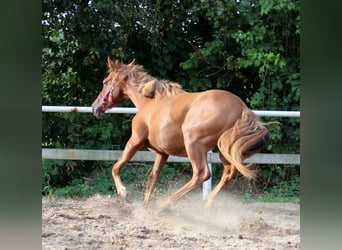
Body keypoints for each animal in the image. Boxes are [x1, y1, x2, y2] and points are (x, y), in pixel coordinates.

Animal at [92, 57, 272, 208]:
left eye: (105, 82)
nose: (95, 107)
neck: (149, 102)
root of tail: (241, 107)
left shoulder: (135, 140)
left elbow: (116, 167)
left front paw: (124, 194)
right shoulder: (161, 153)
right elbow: (152, 179)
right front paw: (144, 208)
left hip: (194, 143)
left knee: (202, 173)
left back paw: (166, 204)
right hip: (224, 149)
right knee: (228, 173)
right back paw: (207, 206)